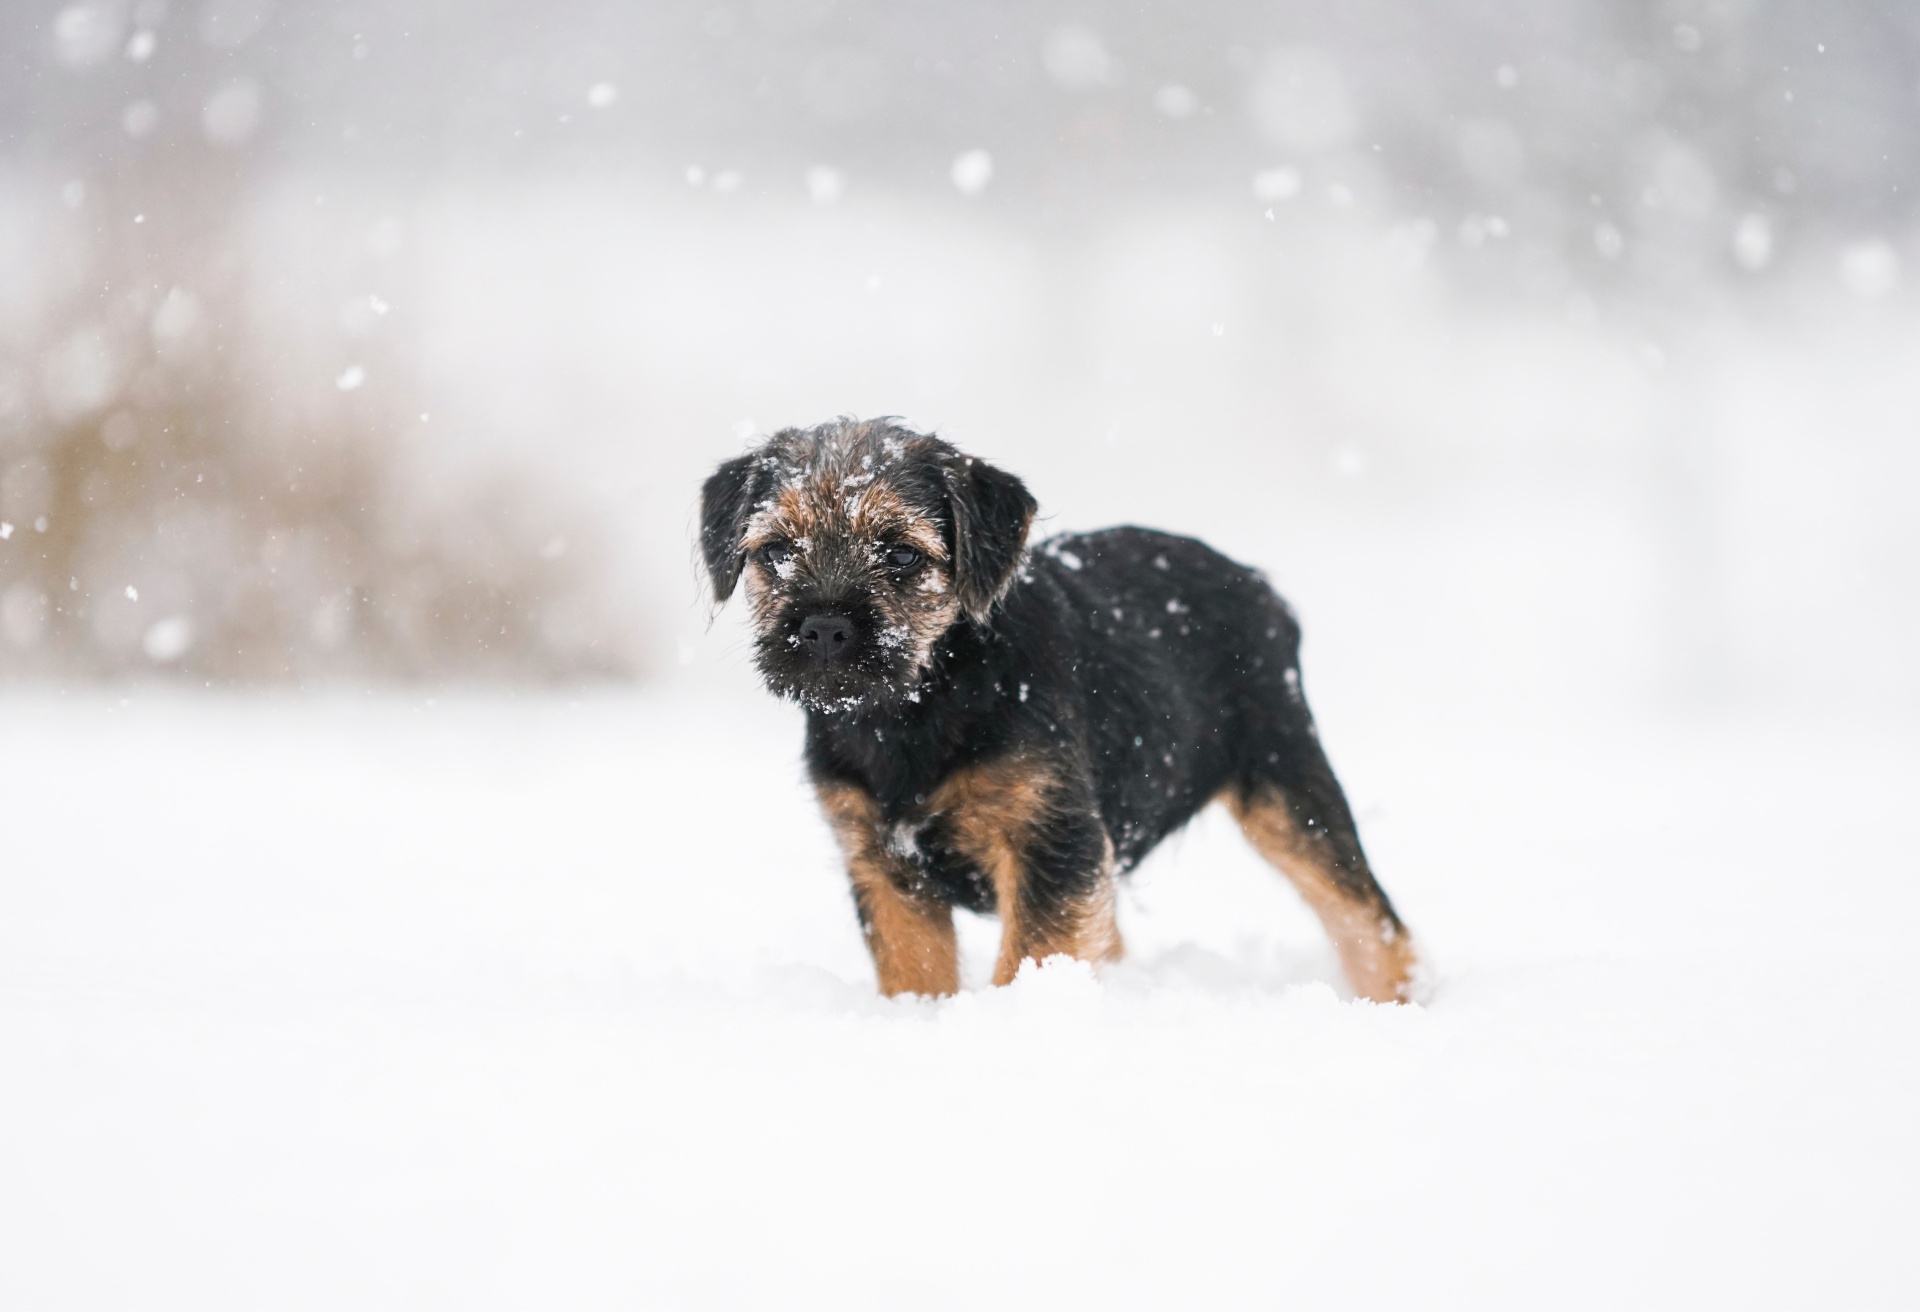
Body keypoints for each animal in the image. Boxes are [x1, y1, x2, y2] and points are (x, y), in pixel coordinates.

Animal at [698, 420, 1420, 1006]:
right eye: (776, 550)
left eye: (900, 552)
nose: (823, 627)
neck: (917, 707)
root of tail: (1259, 585)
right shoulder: (884, 867)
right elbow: (916, 969)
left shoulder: (1051, 841)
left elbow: (1034, 954)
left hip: (1287, 784)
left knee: (1369, 919)